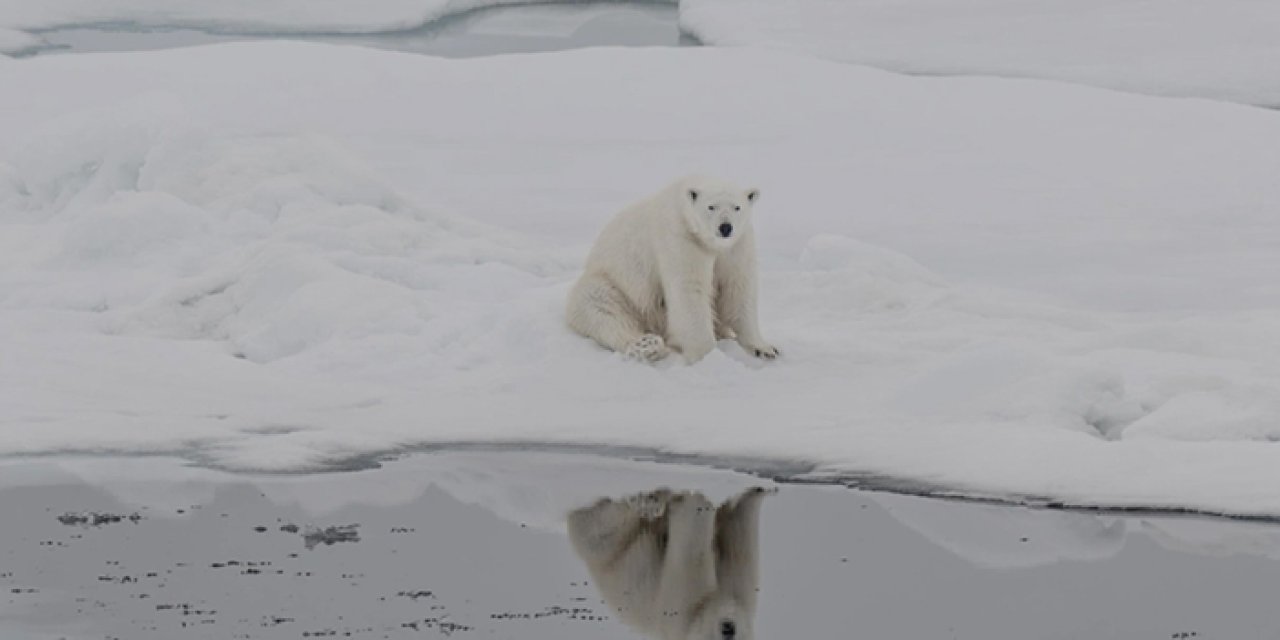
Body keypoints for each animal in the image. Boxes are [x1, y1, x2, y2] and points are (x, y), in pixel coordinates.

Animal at [565, 175, 773, 366]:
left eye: (737, 207)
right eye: (711, 207)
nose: (725, 227)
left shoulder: (737, 245)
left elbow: (739, 289)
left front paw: (764, 349)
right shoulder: (679, 237)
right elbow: (689, 290)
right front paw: (708, 356)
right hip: (613, 284)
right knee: (601, 308)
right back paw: (648, 346)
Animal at [565, 486, 762, 637]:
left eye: (734, 635)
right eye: (726, 635)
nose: (728, 628)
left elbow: (736, 547)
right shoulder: (686, 604)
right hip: (614, 550)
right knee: (607, 522)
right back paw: (651, 503)